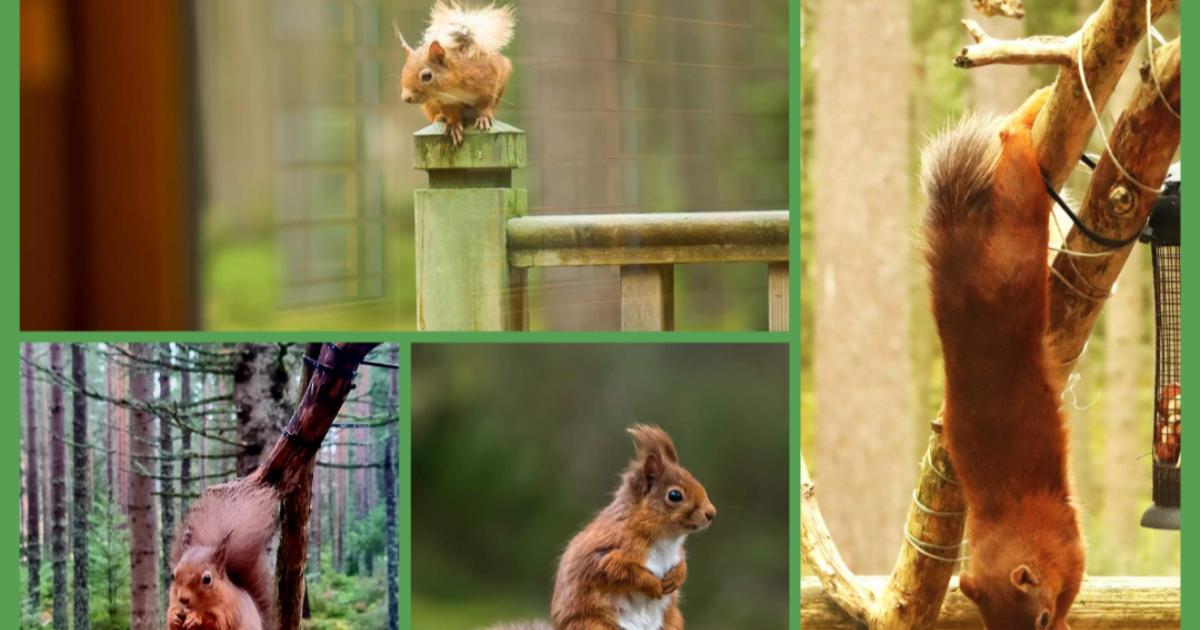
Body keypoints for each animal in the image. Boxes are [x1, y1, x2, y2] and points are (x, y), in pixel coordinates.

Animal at [167, 483, 279, 630]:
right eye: (173, 576)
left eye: (207, 579)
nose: (183, 599)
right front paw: (173, 616)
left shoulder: (229, 610)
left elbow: (216, 622)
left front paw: (195, 618)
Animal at [397, 1, 515, 146]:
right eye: (404, 71)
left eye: (426, 76)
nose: (405, 97)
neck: (452, 88)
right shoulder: (443, 101)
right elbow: (451, 113)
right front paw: (453, 125)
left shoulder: (488, 80)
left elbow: (485, 102)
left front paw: (483, 117)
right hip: (429, 105)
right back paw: (439, 117)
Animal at [481, 426, 716, 630]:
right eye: (675, 495)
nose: (711, 513)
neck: (666, 538)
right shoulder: (610, 551)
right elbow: (620, 573)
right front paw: (654, 585)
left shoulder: (678, 553)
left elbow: (682, 565)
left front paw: (676, 578)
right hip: (593, 624)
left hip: (672, 621)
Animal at [921, 86, 1086, 630]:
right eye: (992, 625)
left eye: (1039, 619)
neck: (1008, 527)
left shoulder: (1066, 541)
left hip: (1014, 256)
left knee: (1016, 176)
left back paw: (1027, 114)